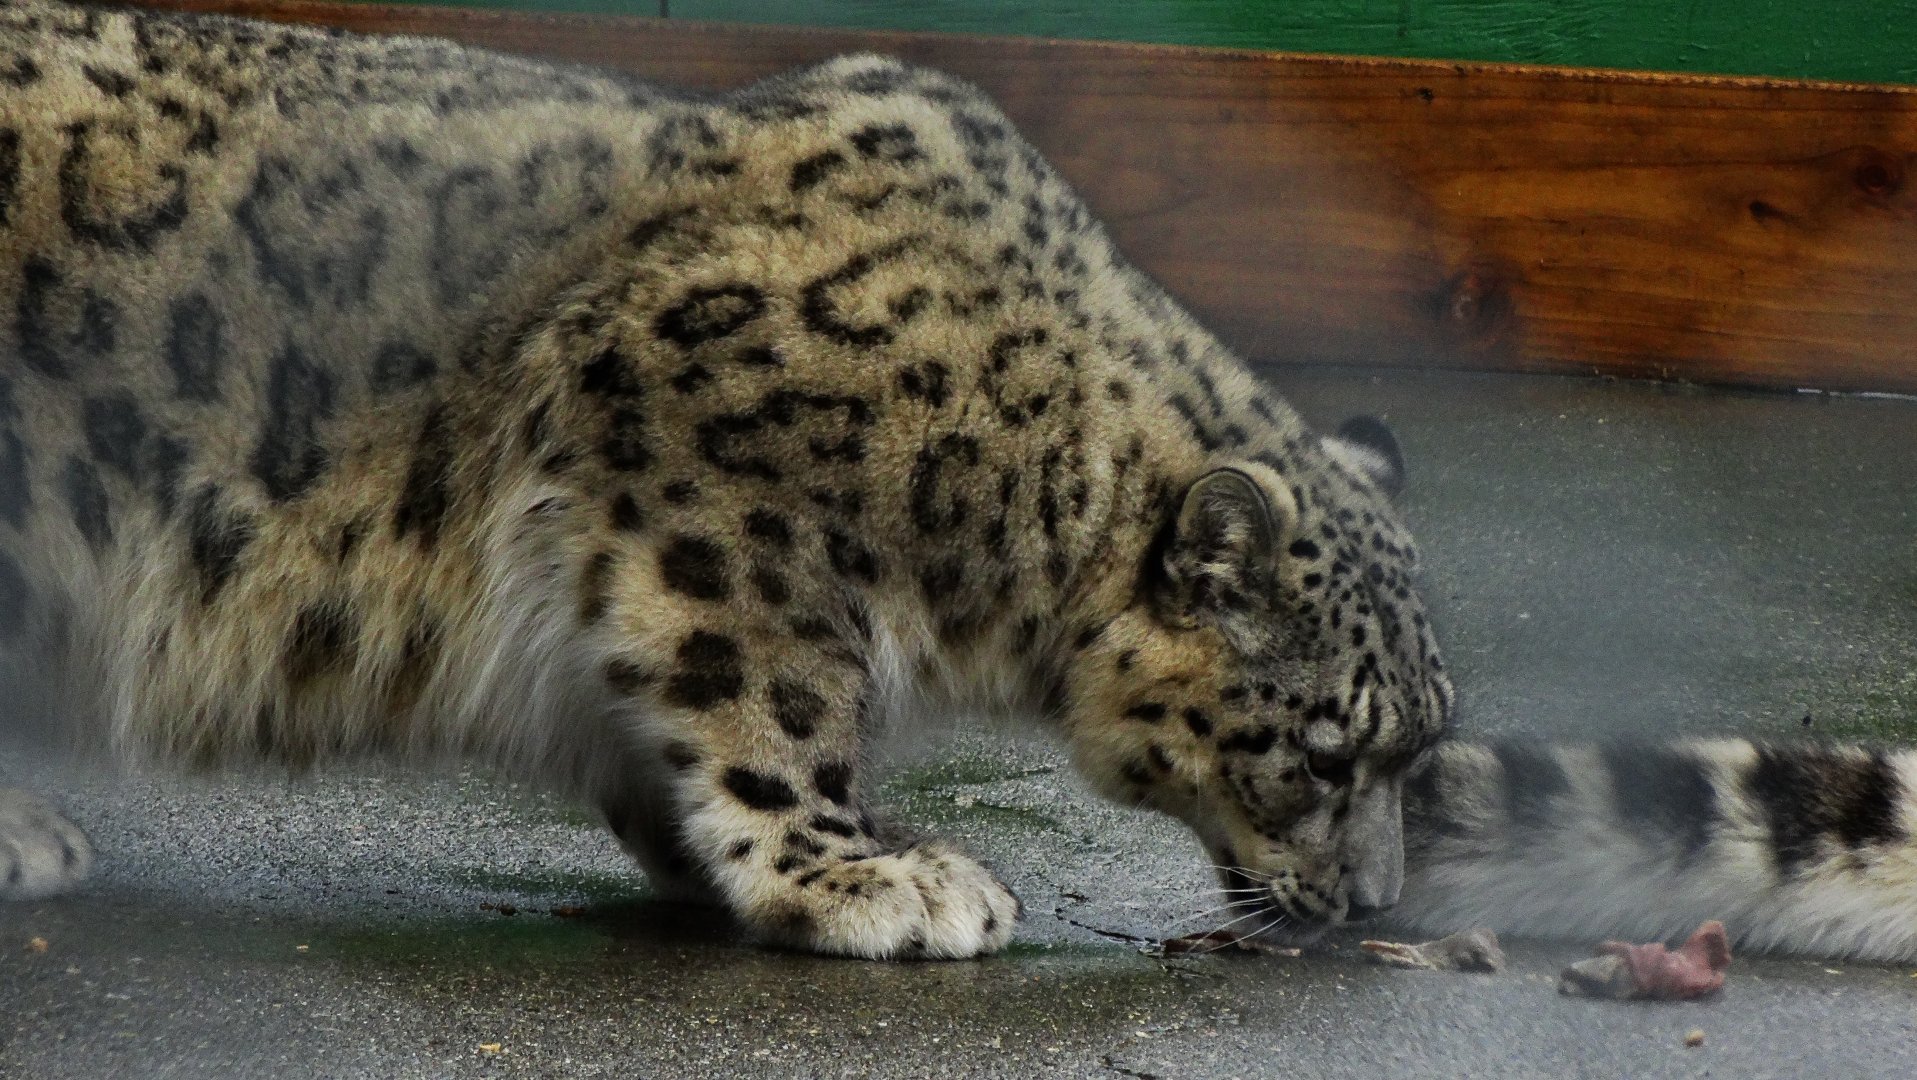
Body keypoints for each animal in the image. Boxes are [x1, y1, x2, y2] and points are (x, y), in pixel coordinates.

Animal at [3, 0, 1914, 962]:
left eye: (1413, 751)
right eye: (1319, 755)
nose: (1376, 904)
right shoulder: (715, 516)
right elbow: (767, 702)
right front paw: (866, 875)